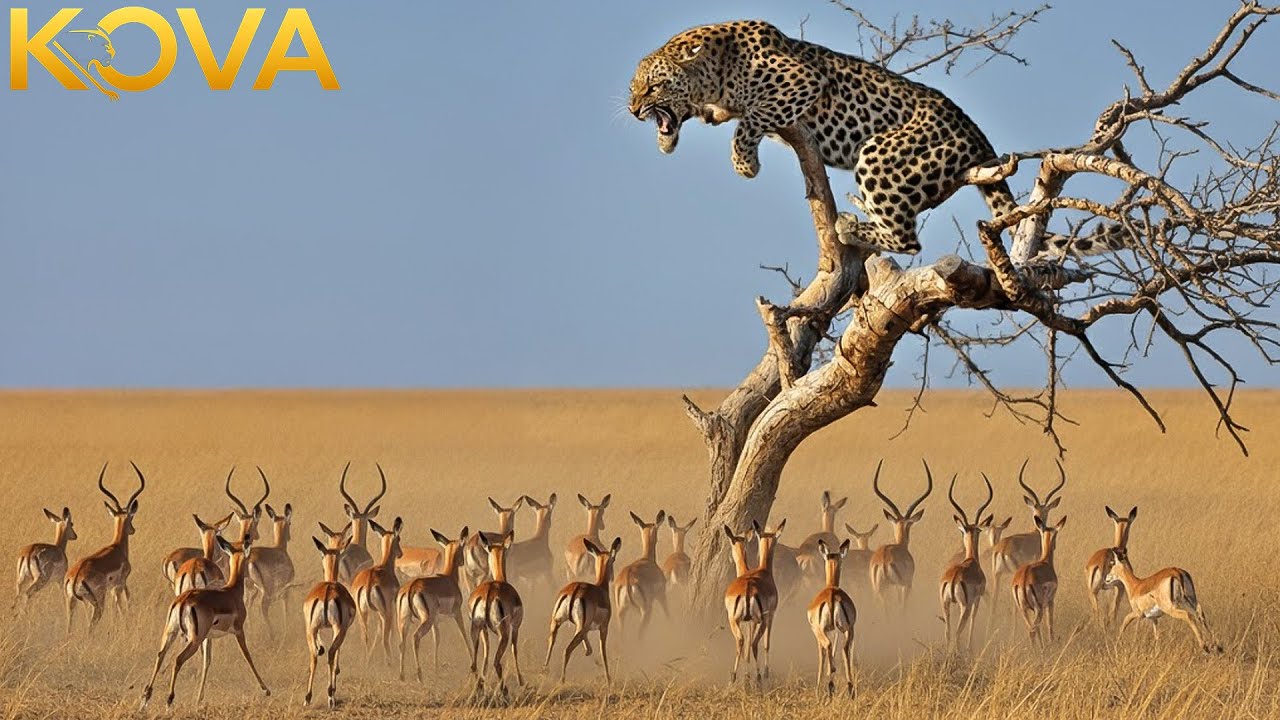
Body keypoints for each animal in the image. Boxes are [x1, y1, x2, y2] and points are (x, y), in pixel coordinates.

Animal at [628, 20, 1124, 258]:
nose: (633, 110)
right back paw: (856, 214)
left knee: (908, 240)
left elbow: (751, 118)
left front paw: (745, 163)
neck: (714, 70)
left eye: (652, 87)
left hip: (880, 153)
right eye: (635, 89)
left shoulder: (800, 80)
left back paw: (850, 225)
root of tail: (977, 136)